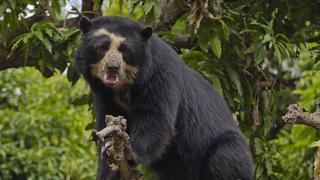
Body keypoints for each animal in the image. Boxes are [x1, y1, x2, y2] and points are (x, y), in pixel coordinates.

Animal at [74, 16, 252, 179]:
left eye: (125, 50)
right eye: (102, 47)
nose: (113, 67)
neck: (123, 88)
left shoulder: (159, 76)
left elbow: (156, 118)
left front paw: (130, 152)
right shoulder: (104, 96)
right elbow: (108, 123)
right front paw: (108, 162)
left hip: (223, 148)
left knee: (224, 159)